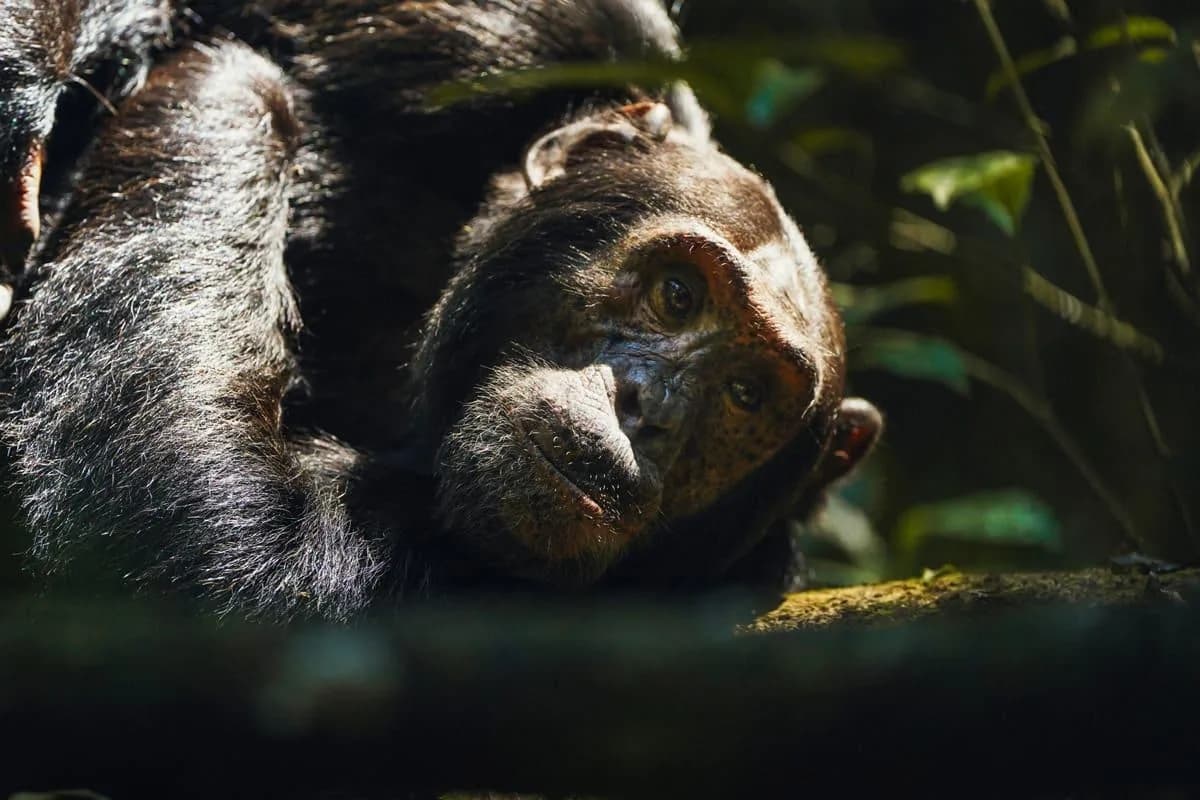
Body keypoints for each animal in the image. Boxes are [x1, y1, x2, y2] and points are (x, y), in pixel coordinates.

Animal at [0, 0, 882, 620]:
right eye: (678, 295)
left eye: (746, 395)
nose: (648, 407)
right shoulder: (526, 35)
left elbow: (210, 535)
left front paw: (238, 89)